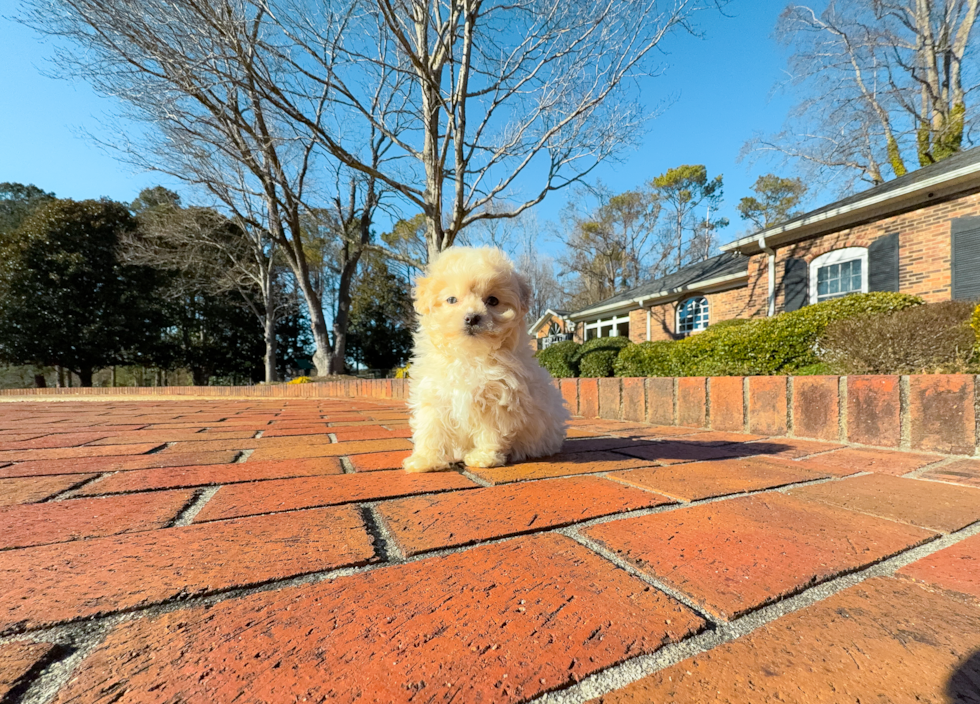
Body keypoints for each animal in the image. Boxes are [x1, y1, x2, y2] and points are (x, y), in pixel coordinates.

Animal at [404, 245, 572, 470]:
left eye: (493, 300)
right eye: (451, 300)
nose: (472, 317)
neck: (469, 355)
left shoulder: (498, 397)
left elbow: (491, 431)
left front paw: (484, 458)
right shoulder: (434, 395)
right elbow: (430, 427)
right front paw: (424, 460)